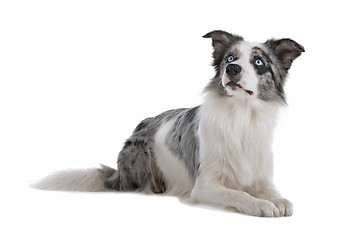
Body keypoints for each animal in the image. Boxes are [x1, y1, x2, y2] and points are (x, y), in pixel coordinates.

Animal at [34, 30, 304, 218]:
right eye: (230, 57)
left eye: (259, 62)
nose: (232, 68)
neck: (241, 116)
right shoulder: (205, 186)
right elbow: (238, 194)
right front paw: (260, 204)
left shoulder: (261, 177)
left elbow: (276, 194)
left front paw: (278, 201)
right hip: (140, 150)